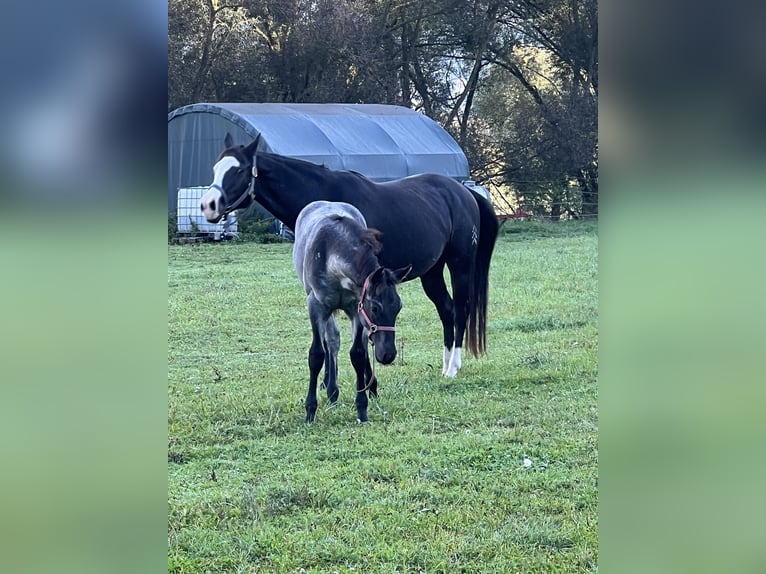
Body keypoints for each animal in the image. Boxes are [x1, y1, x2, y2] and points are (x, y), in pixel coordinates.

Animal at [201, 133, 500, 380]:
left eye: (239, 169)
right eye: (215, 169)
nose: (208, 205)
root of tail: (465, 192)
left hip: (460, 264)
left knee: (460, 309)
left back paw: (453, 368)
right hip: (432, 271)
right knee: (446, 310)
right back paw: (445, 365)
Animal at [296, 201, 414, 424]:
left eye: (399, 307)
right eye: (375, 307)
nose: (388, 355)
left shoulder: (355, 308)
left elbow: (358, 354)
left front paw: (362, 408)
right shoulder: (316, 305)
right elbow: (316, 354)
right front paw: (310, 410)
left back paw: (368, 387)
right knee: (332, 341)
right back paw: (331, 390)